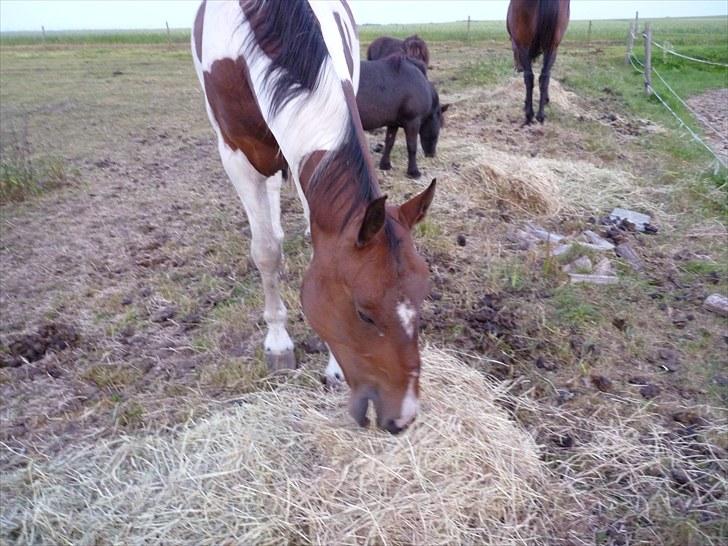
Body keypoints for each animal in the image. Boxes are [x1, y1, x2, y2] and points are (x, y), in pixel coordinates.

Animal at [191, 1, 436, 434]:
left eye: (422, 298)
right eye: (363, 314)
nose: (403, 417)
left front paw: (334, 366)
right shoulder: (236, 155)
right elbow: (266, 251)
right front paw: (278, 343)